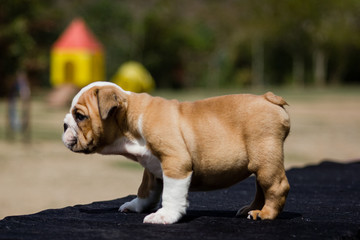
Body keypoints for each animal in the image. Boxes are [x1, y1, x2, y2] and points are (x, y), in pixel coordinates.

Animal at [63, 81, 292, 224]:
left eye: (80, 116)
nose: (64, 124)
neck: (130, 118)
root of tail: (268, 98)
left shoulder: (175, 163)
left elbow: (171, 193)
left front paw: (165, 216)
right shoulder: (152, 168)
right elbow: (145, 190)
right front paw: (136, 206)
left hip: (265, 158)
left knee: (276, 186)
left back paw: (265, 213)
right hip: (260, 163)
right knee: (260, 187)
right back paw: (250, 209)